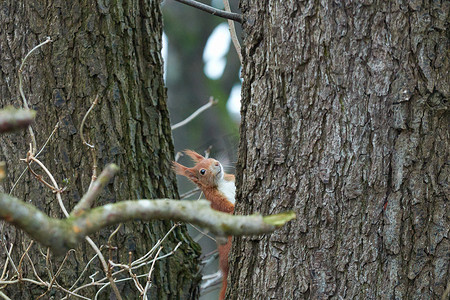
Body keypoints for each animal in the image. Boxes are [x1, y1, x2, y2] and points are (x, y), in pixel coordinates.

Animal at [172, 150, 236, 300]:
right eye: (202, 171)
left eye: (211, 158)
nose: (217, 163)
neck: (222, 182)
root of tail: (224, 270)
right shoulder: (217, 202)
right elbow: (230, 211)